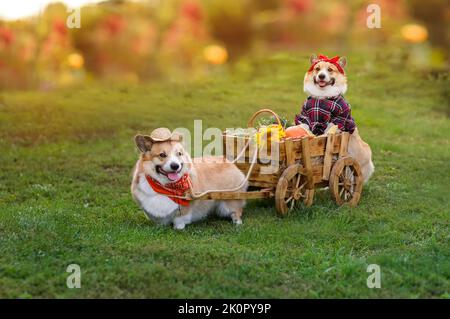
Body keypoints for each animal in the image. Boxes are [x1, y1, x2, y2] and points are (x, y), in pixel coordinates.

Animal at [298, 54, 374, 184]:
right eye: (317, 69)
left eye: (330, 69)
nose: (321, 76)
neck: (322, 97)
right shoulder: (305, 115)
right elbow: (303, 125)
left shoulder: (340, 118)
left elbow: (329, 130)